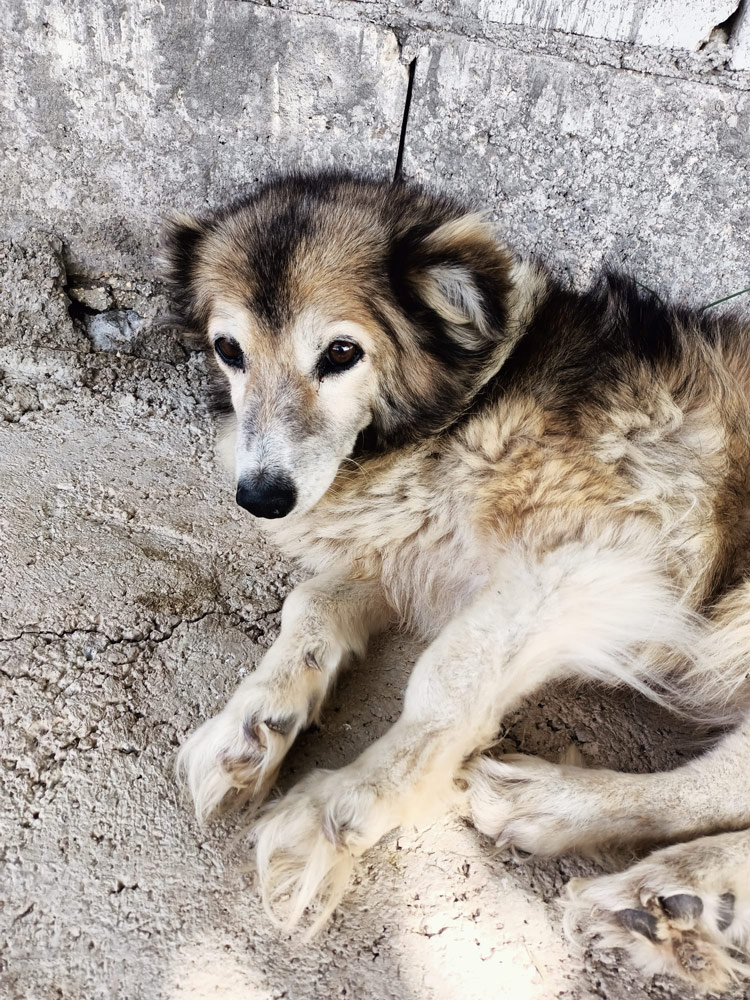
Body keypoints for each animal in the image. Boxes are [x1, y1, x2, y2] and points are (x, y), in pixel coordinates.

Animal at [164, 172, 750, 992]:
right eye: (229, 349)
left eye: (341, 352)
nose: (262, 497)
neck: (473, 398)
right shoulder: (410, 550)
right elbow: (311, 605)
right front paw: (253, 723)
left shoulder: (599, 558)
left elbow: (444, 681)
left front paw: (343, 809)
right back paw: (664, 905)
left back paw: (637, 866)